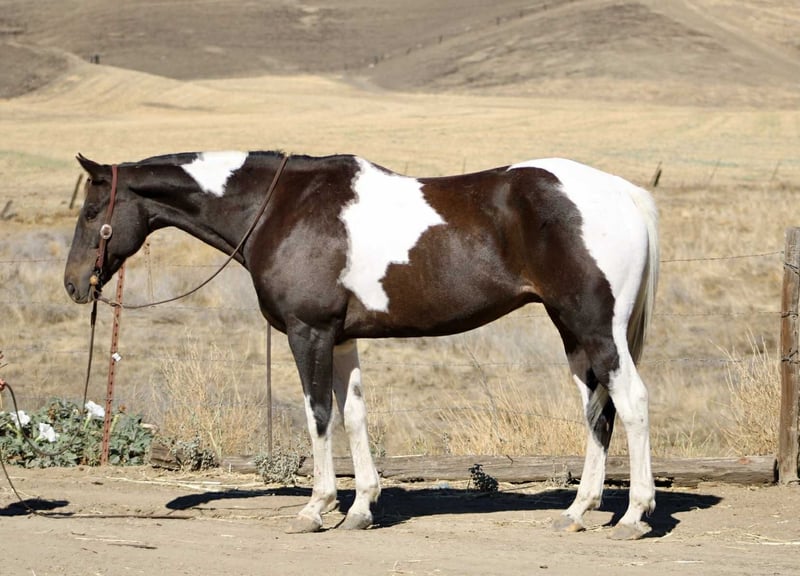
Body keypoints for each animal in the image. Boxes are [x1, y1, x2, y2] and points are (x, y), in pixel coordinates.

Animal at [64, 150, 659, 540]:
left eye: (92, 213)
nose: (73, 285)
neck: (280, 207)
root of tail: (625, 193)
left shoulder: (309, 332)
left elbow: (318, 416)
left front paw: (316, 508)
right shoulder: (342, 338)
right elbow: (353, 416)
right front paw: (360, 509)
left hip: (596, 327)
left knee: (630, 404)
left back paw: (634, 516)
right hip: (573, 332)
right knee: (597, 412)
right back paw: (578, 511)